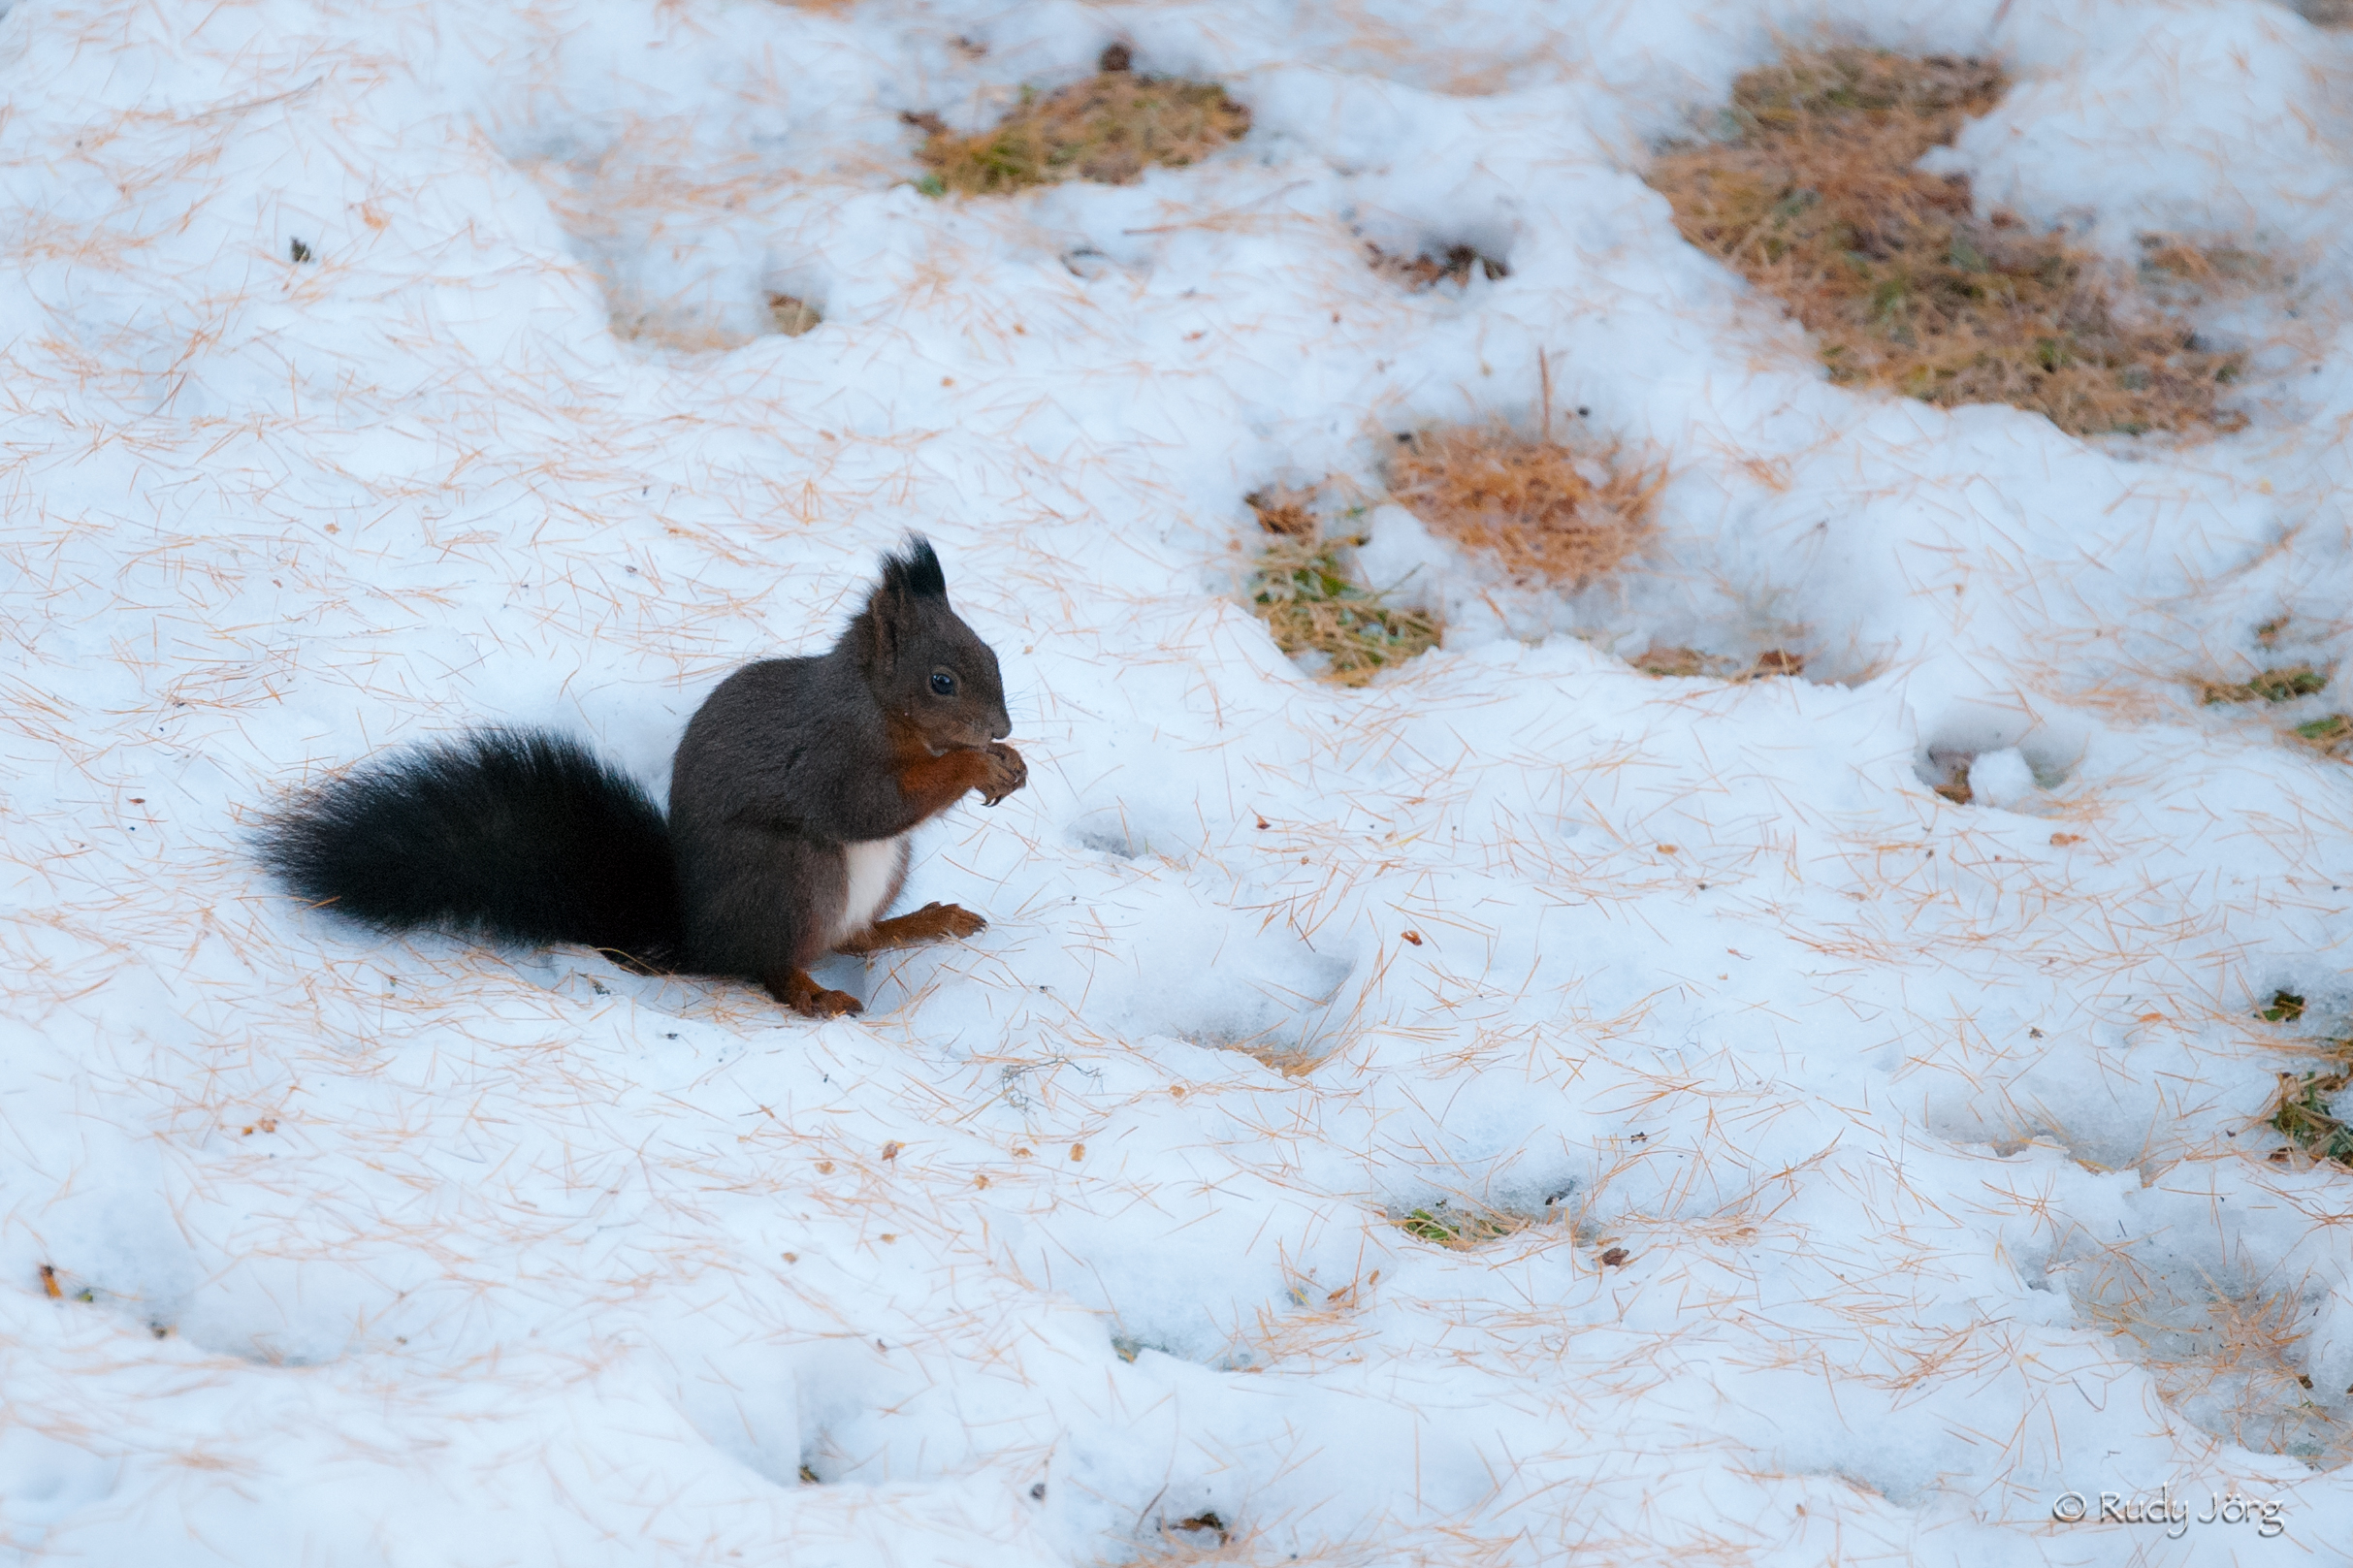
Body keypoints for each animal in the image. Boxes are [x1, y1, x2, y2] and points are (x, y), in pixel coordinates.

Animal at [258, 537, 1027, 1017]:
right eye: (942, 681)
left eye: (992, 653)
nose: (1003, 726)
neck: (877, 705)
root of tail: (701, 936)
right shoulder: (831, 755)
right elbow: (871, 805)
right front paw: (975, 764)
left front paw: (1011, 764)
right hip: (791, 874)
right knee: (773, 962)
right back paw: (810, 992)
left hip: (883, 870)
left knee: (854, 939)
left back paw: (923, 922)